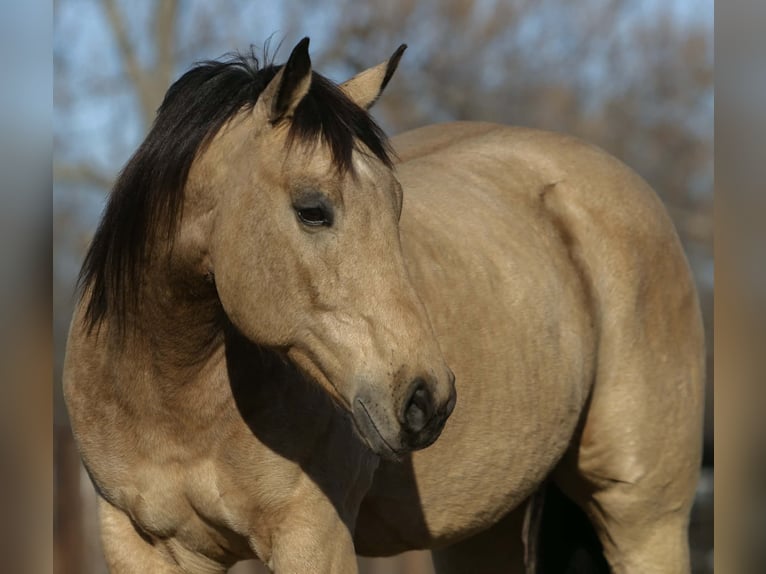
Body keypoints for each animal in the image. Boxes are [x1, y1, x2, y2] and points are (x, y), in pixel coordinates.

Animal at [63, 38, 705, 573]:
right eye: (313, 209)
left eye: (397, 203)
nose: (428, 399)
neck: (170, 400)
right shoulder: (146, 546)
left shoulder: (313, 539)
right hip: (484, 527)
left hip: (643, 517)